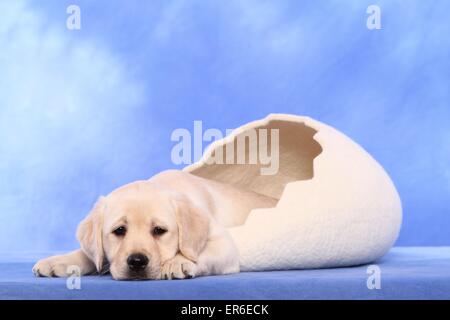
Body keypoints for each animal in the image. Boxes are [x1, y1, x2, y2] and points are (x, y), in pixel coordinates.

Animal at [31, 170, 276, 280]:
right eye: (119, 230)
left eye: (159, 231)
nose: (137, 262)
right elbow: (88, 254)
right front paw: (59, 261)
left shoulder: (225, 246)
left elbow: (201, 252)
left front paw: (178, 262)